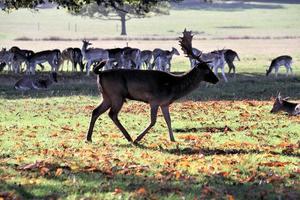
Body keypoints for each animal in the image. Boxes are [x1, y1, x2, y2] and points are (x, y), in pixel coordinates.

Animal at [85, 28, 219, 143]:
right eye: (207, 69)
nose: (217, 79)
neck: (174, 87)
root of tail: (100, 73)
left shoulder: (164, 103)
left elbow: (168, 120)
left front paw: (173, 139)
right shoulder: (154, 100)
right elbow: (153, 121)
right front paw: (138, 138)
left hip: (106, 96)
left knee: (96, 111)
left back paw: (89, 138)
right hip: (116, 94)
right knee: (112, 114)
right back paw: (129, 137)